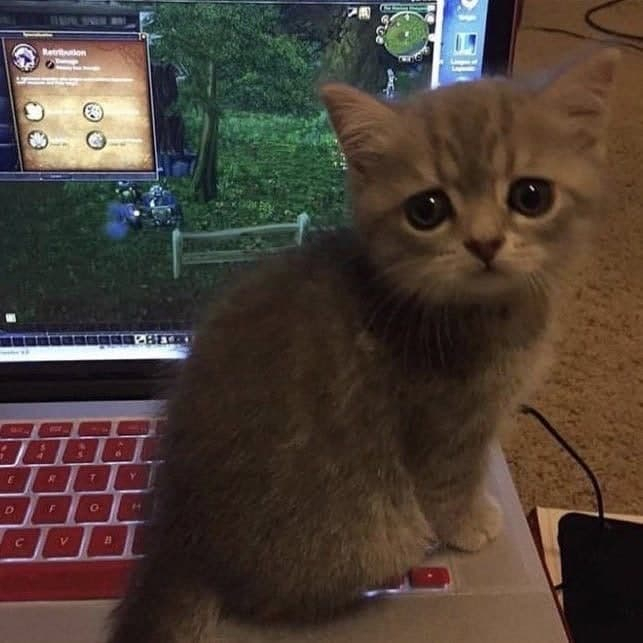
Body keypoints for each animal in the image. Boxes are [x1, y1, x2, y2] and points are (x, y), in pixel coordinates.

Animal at [108, 46, 620, 642]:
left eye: (530, 196)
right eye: (427, 209)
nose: (485, 242)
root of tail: (183, 542)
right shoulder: (447, 423)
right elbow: (451, 484)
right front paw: (470, 523)